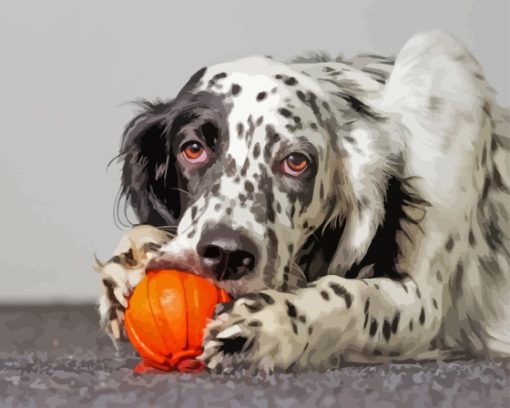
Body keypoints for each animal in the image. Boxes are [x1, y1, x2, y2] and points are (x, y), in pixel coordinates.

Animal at [95, 30, 510, 372]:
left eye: (296, 162)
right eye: (193, 149)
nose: (227, 254)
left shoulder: (425, 303)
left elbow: (351, 295)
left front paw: (274, 322)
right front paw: (133, 255)